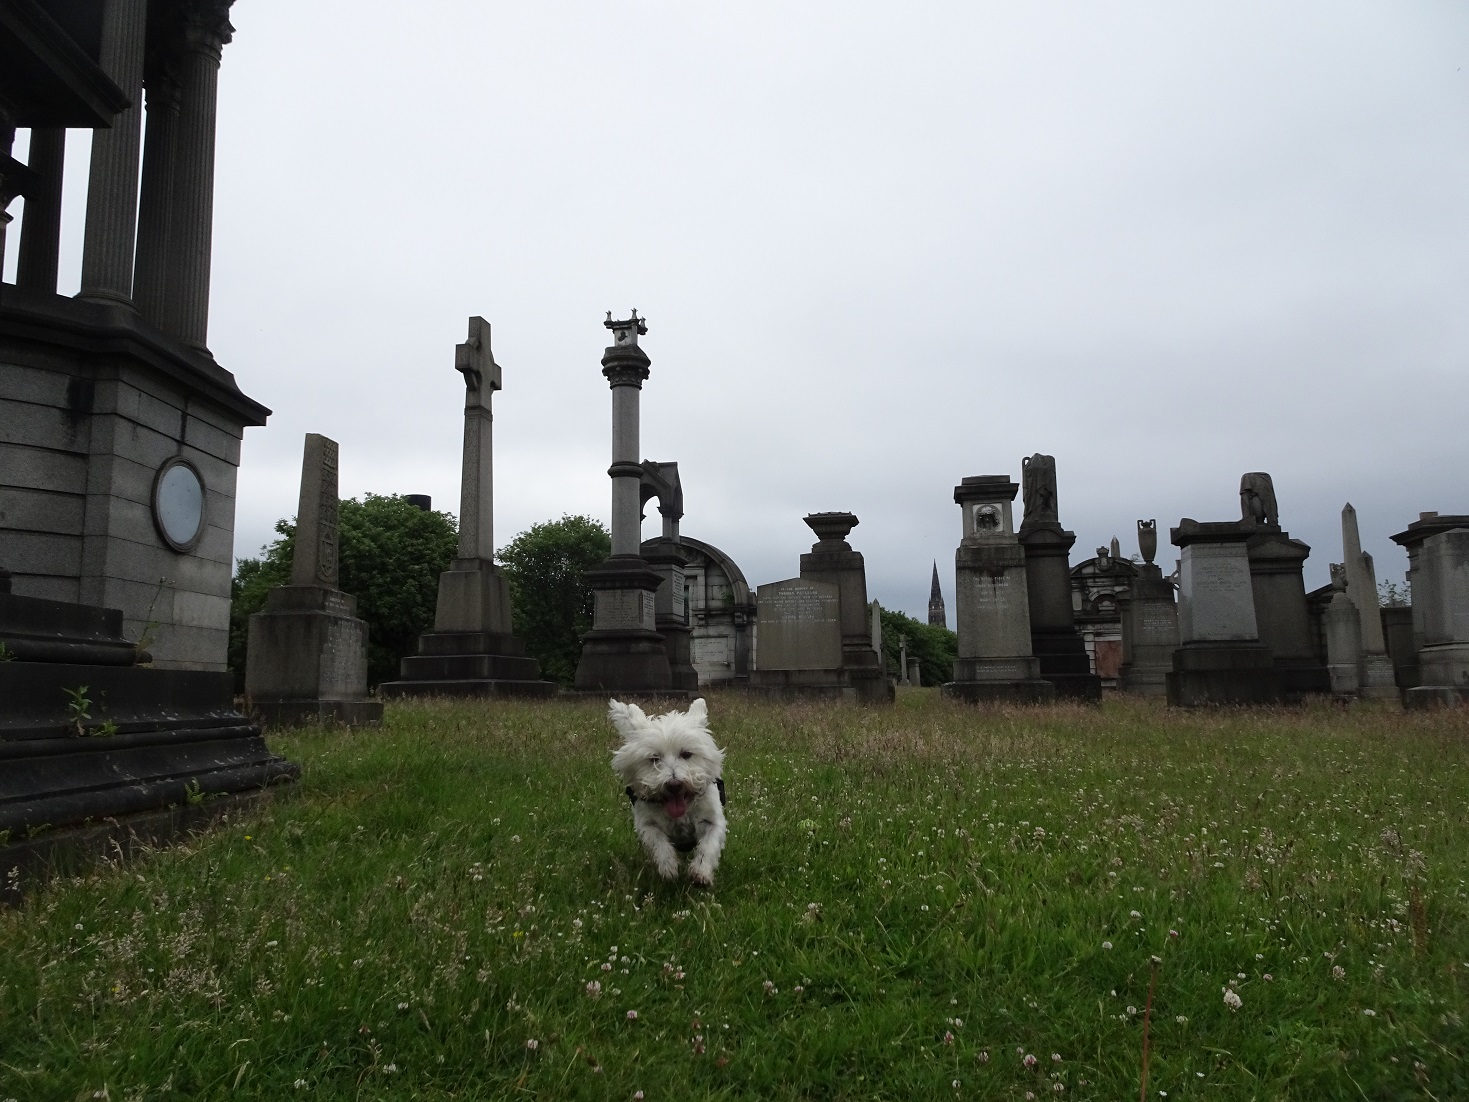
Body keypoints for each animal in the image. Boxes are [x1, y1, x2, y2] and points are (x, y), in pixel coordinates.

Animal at [605, 699, 725, 887]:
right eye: (654, 758)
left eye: (686, 754)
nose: (674, 784)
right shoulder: (647, 824)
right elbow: (659, 844)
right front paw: (668, 868)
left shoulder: (712, 820)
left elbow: (708, 846)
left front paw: (701, 872)